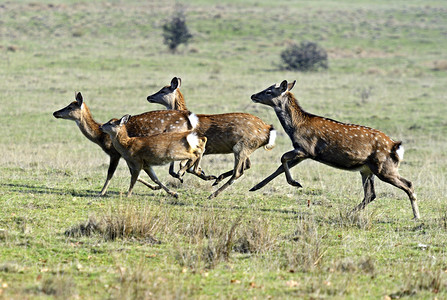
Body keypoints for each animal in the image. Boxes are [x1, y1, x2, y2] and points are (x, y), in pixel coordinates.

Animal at [53, 92, 203, 195]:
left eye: (70, 107)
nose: (55, 112)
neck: (100, 138)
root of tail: (189, 118)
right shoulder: (127, 155)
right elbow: (138, 173)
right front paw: (156, 187)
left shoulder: (115, 153)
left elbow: (111, 173)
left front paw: (101, 192)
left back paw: (184, 172)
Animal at [149, 77, 278, 199]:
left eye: (163, 90)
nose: (149, 96)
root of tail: (268, 129)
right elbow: (182, 167)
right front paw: (202, 173)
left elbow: (182, 167)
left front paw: (192, 174)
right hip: (247, 148)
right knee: (247, 165)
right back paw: (217, 179)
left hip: (242, 146)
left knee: (238, 172)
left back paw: (213, 193)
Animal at [250, 79, 422, 220]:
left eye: (269, 91)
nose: (253, 96)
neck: (295, 127)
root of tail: (395, 146)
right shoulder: (302, 152)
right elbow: (280, 166)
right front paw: (255, 187)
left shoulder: (306, 148)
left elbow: (282, 157)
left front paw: (295, 183)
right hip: (367, 169)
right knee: (371, 194)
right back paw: (350, 213)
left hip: (384, 167)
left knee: (408, 184)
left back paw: (416, 216)